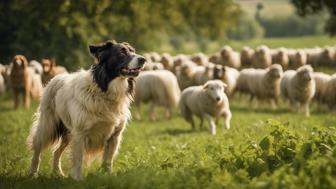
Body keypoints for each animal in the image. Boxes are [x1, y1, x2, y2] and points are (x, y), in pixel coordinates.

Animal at [26, 41, 145, 180]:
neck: (105, 90)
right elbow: (78, 159)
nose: (143, 59)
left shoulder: (115, 135)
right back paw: (33, 173)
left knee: (56, 152)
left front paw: (108, 175)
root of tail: (57, 77)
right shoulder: (80, 133)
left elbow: (108, 160)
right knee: (37, 149)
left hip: (68, 134)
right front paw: (78, 179)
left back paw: (58, 173)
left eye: (133, 51)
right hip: (48, 126)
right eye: (122, 52)